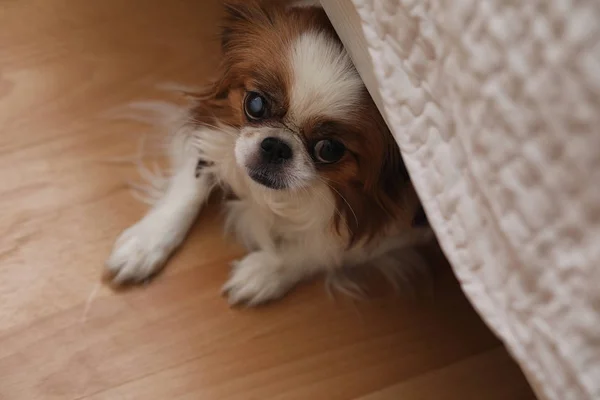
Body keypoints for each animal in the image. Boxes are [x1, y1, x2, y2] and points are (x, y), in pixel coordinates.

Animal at [104, 0, 432, 306]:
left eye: (329, 149)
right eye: (255, 104)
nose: (276, 146)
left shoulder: (407, 225)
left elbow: (324, 249)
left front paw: (264, 273)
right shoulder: (207, 129)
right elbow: (189, 188)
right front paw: (146, 242)